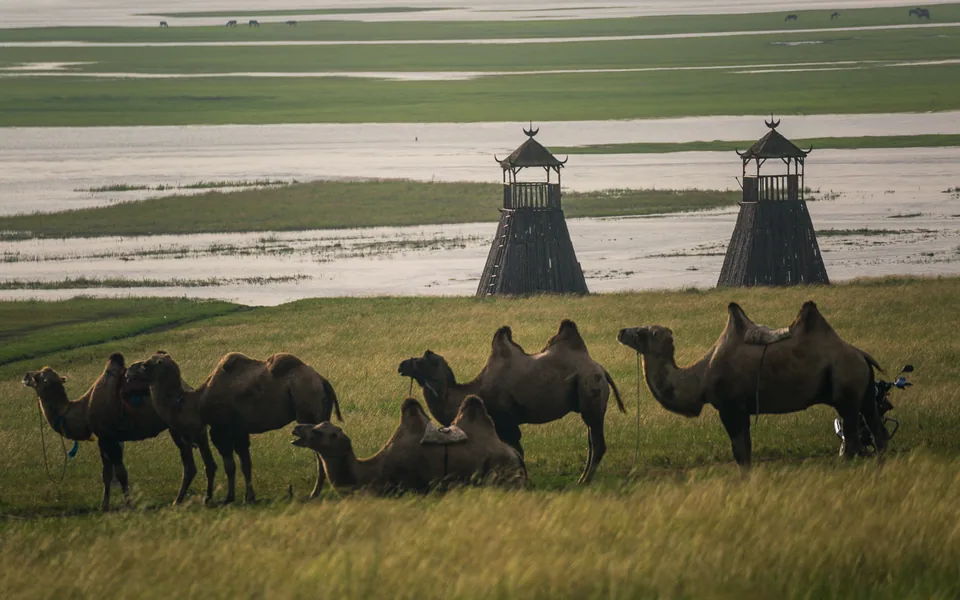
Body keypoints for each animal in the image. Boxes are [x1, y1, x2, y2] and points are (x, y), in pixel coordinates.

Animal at [22, 353, 217, 510]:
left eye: (38, 376)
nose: (26, 375)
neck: (83, 410)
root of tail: (188, 388)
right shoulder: (104, 439)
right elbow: (106, 474)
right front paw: (104, 505)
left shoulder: (109, 438)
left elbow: (122, 473)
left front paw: (129, 504)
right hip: (177, 429)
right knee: (189, 464)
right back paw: (179, 500)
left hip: (180, 428)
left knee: (193, 462)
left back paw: (186, 499)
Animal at [126, 350, 342, 504]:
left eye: (145, 365)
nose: (127, 373)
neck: (196, 402)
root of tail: (322, 380)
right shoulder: (240, 430)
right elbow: (245, 463)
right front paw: (249, 497)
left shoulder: (221, 429)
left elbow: (229, 464)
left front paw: (229, 498)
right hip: (322, 411)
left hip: (308, 409)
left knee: (318, 450)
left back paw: (314, 493)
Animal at [291, 396, 526, 496]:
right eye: (318, 426)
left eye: (319, 432)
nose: (297, 428)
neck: (369, 471)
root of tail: (516, 455)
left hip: (502, 476)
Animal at [398, 320, 624, 484]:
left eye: (422, 358)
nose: (401, 364)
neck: (477, 389)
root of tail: (601, 369)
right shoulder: (501, 424)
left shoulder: (507, 421)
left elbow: (517, 451)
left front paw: (523, 480)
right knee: (591, 442)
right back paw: (583, 477)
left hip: (591, 392)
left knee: (597, 443)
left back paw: (583, 481)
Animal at [617, 301, 885, 467]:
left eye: (641, 332)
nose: (621, 332)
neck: (701, 377)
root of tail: (862, 355)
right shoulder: (741, 409)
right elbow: (745, 449)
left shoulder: (730, 406)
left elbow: (741, 453)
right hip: (865, 392)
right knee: (877, 431)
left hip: (846, 388)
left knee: (853, 440)